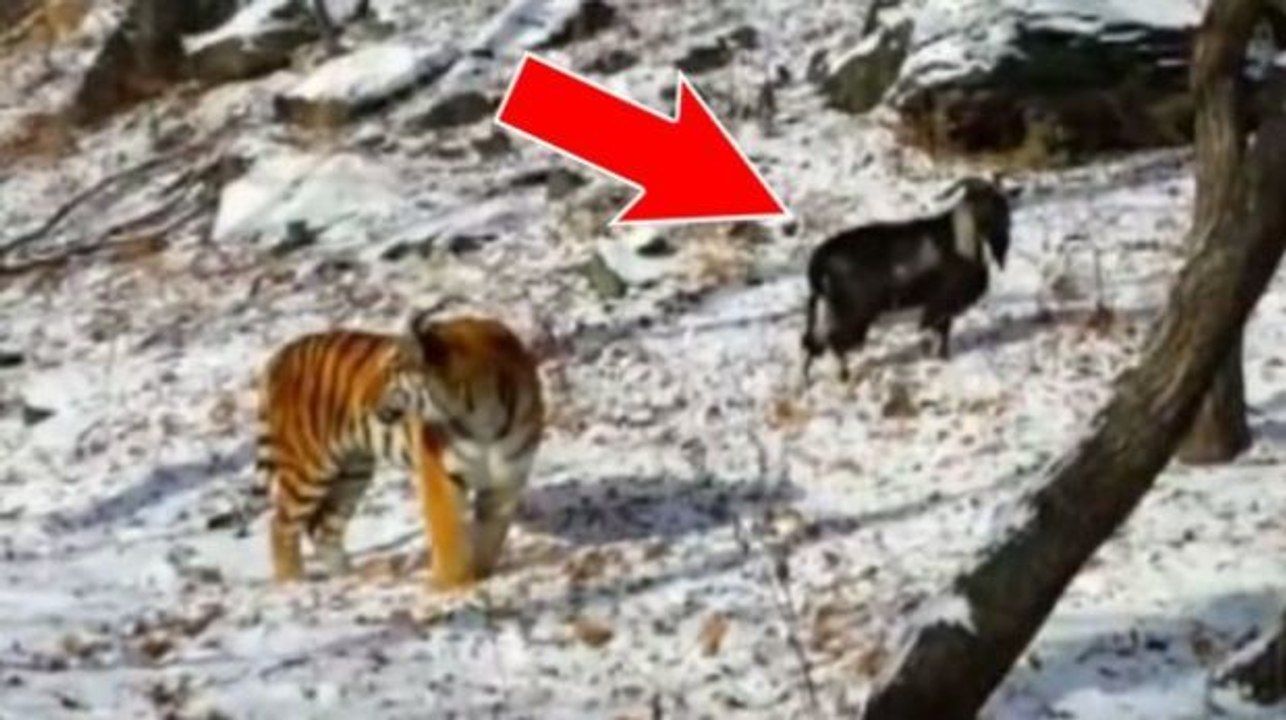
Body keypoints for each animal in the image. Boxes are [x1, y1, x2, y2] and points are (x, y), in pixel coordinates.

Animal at [254, 308, 544, 590]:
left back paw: (348, 580)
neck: (482, 418)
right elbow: (448, 532)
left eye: (390, 370)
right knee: (280, 526)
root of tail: (282, 353)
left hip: (352, 472)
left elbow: (491, 536)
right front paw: (452, 586)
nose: (364, 401)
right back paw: (292, 584)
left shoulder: (505, 481)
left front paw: (482, 575)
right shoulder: (440, 476)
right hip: (309, 467)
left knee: (324, 529)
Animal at [801, 176, 1016, 383]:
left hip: (830, 311)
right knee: (832, 342)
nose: (1004, 234)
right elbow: (939, 334)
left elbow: (942, 333)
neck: (959, 242)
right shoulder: (940, 305)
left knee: (813, 341)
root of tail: (820, 259)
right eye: (982, 200)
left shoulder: (942, 310)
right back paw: (843, 376)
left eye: (1002, 203)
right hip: (851, 315)